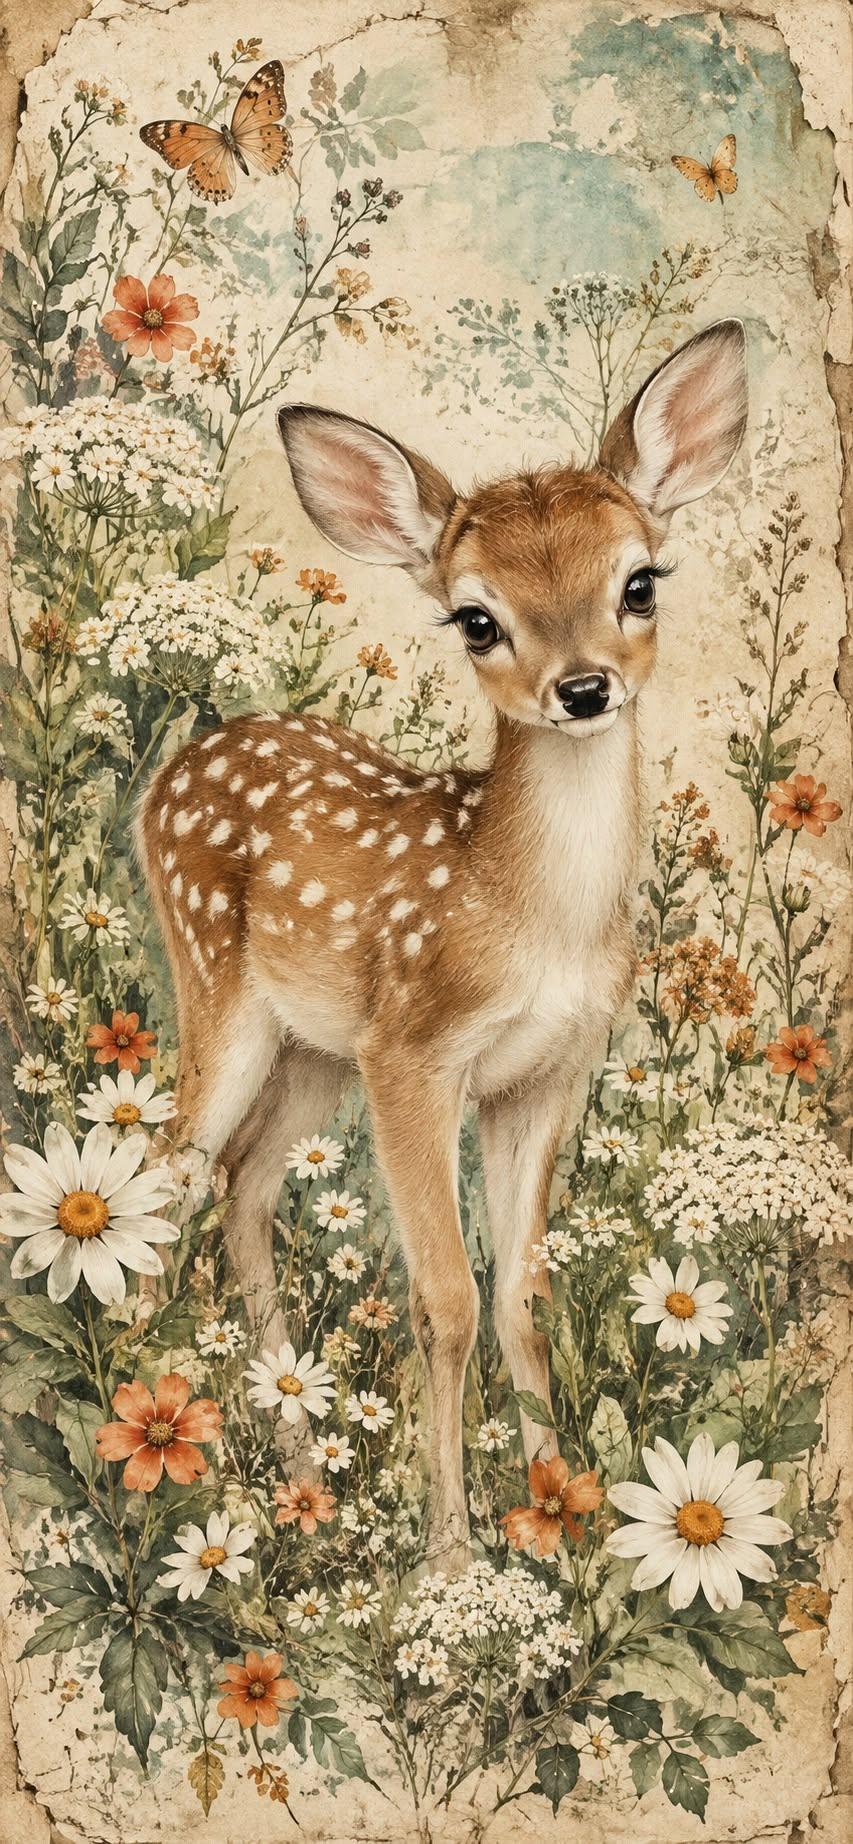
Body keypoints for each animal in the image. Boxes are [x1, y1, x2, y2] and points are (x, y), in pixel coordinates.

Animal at [138, 318, 747, 1574]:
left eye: (638, 581)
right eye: (476, 617)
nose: (581, 686)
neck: (526, 914)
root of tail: (175, 767)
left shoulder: (545, 1071)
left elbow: (521, 1295)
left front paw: (561, 1521)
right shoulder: (416, 1049)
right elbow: (446, 1298)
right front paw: (453, 1555)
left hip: (316, 1053)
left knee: (240, 1185)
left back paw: (297, 1463)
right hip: (224, 992)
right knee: (167, 1167)